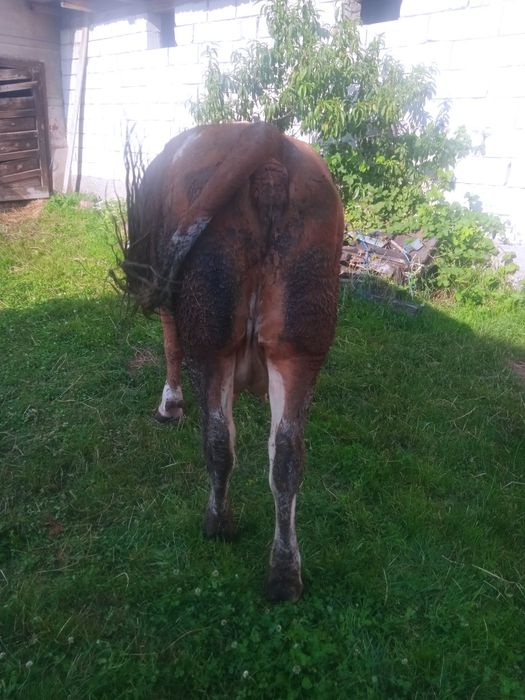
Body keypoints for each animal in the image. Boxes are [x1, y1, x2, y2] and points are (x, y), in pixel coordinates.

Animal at [121, 122, 343, 601]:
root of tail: (268, 137)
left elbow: (170, 346)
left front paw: (169, 406)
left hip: (210, 336)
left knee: (219, 440)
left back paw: (217, 524)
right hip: (301, 342)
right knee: (287, 457)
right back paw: (284, 573)